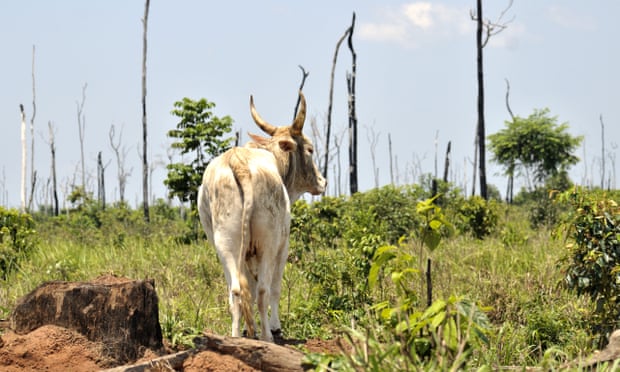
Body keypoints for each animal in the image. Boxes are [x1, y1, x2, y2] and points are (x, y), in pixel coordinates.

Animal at [199, 91, 326, 342]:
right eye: (310, 149)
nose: (322, 181)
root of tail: (238, 162)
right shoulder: (283, 245)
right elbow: (275, 288)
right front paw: (275, 327)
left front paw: (252, 330)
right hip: (268, 243)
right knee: (263, 290)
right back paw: (268, 336)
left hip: (225, 243)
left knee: (236, 290)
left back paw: (237, 337)